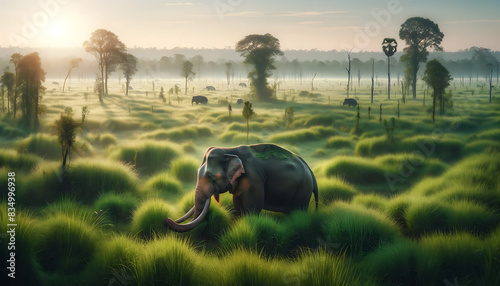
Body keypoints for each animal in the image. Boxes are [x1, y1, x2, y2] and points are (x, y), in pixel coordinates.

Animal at [166, 143, 318, 232]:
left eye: (209, 176)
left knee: (298, 211)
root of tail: (310, 170)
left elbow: (252, 209)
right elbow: (238, 205)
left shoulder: (255, 180)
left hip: (303, 190)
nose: (167, 219)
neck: (229, 150)